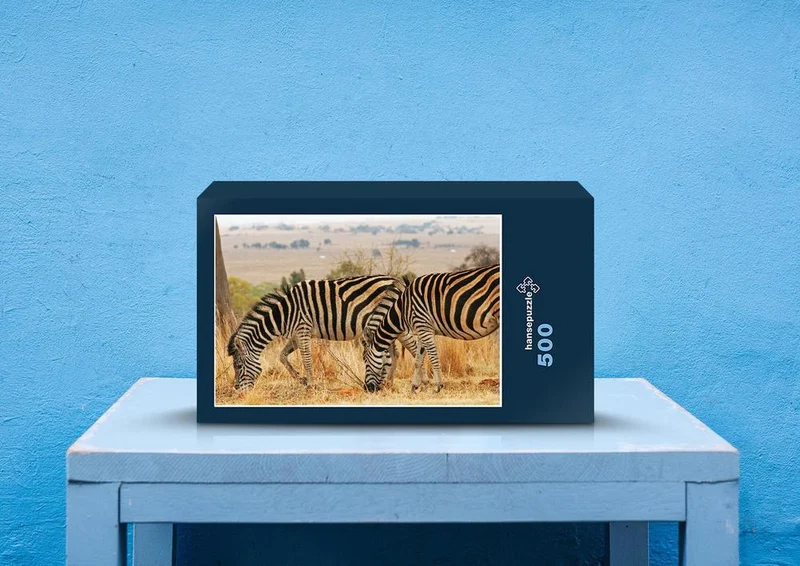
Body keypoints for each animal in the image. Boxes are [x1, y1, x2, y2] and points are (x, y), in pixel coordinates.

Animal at [228, 275, 416, 391]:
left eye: (238, 366)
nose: (237, 390)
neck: (285, 314)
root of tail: (395, 279)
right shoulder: (296, 335)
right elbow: (282, 356)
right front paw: (301, 379)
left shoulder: (303, 329)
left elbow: (307, 359)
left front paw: (311, 384)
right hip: (384, 326)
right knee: (394, 352)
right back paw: (388, 383)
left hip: (392, 320)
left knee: (412, 347)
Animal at [362, 264, 500, 393]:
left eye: (365, 361)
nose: (367, 388)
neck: (402, 309)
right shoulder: (422, 329)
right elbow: (418, 360)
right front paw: (414, 387)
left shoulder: (424, 327)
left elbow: (433, 357)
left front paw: (438, 386)